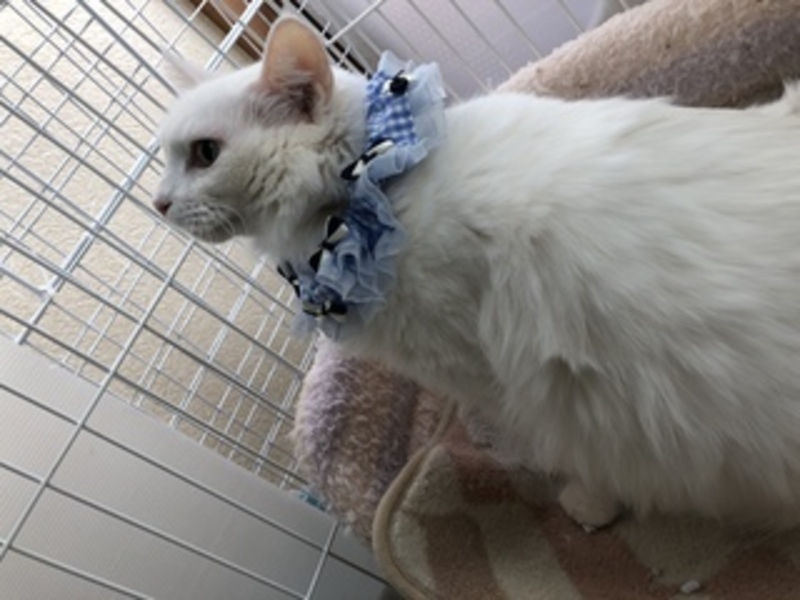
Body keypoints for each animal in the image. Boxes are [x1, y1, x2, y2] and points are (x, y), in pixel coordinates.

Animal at [156, 15, 800, 530]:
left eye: (205, 154)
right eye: (167, 157)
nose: (157, 202)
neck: (379, 185)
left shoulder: (494, 372)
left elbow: (573, 454)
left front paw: (587, 503)